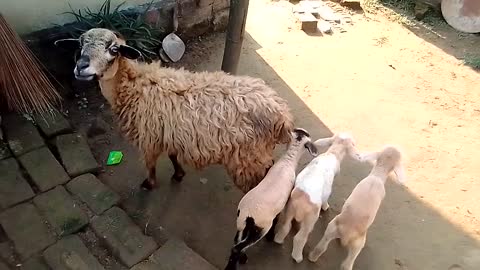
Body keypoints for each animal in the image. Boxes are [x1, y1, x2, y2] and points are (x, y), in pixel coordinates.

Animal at [224, 128, 318, 270]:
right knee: (237, 247)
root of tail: (247, 214)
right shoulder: (281, 204)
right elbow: (277, 219)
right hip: (260, 228)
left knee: (238, 241)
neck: (288, 160)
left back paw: (242, 258)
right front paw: (271, 237)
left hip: (241, 224)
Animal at [272, 132, 362, 262]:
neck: (333, 153)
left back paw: (278, 240)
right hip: (310, 219)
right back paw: (298, 257)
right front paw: (326, 206)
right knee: (300, 237)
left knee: (285, 227)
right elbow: (326, 198)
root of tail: (300, 200)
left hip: (289, 209)